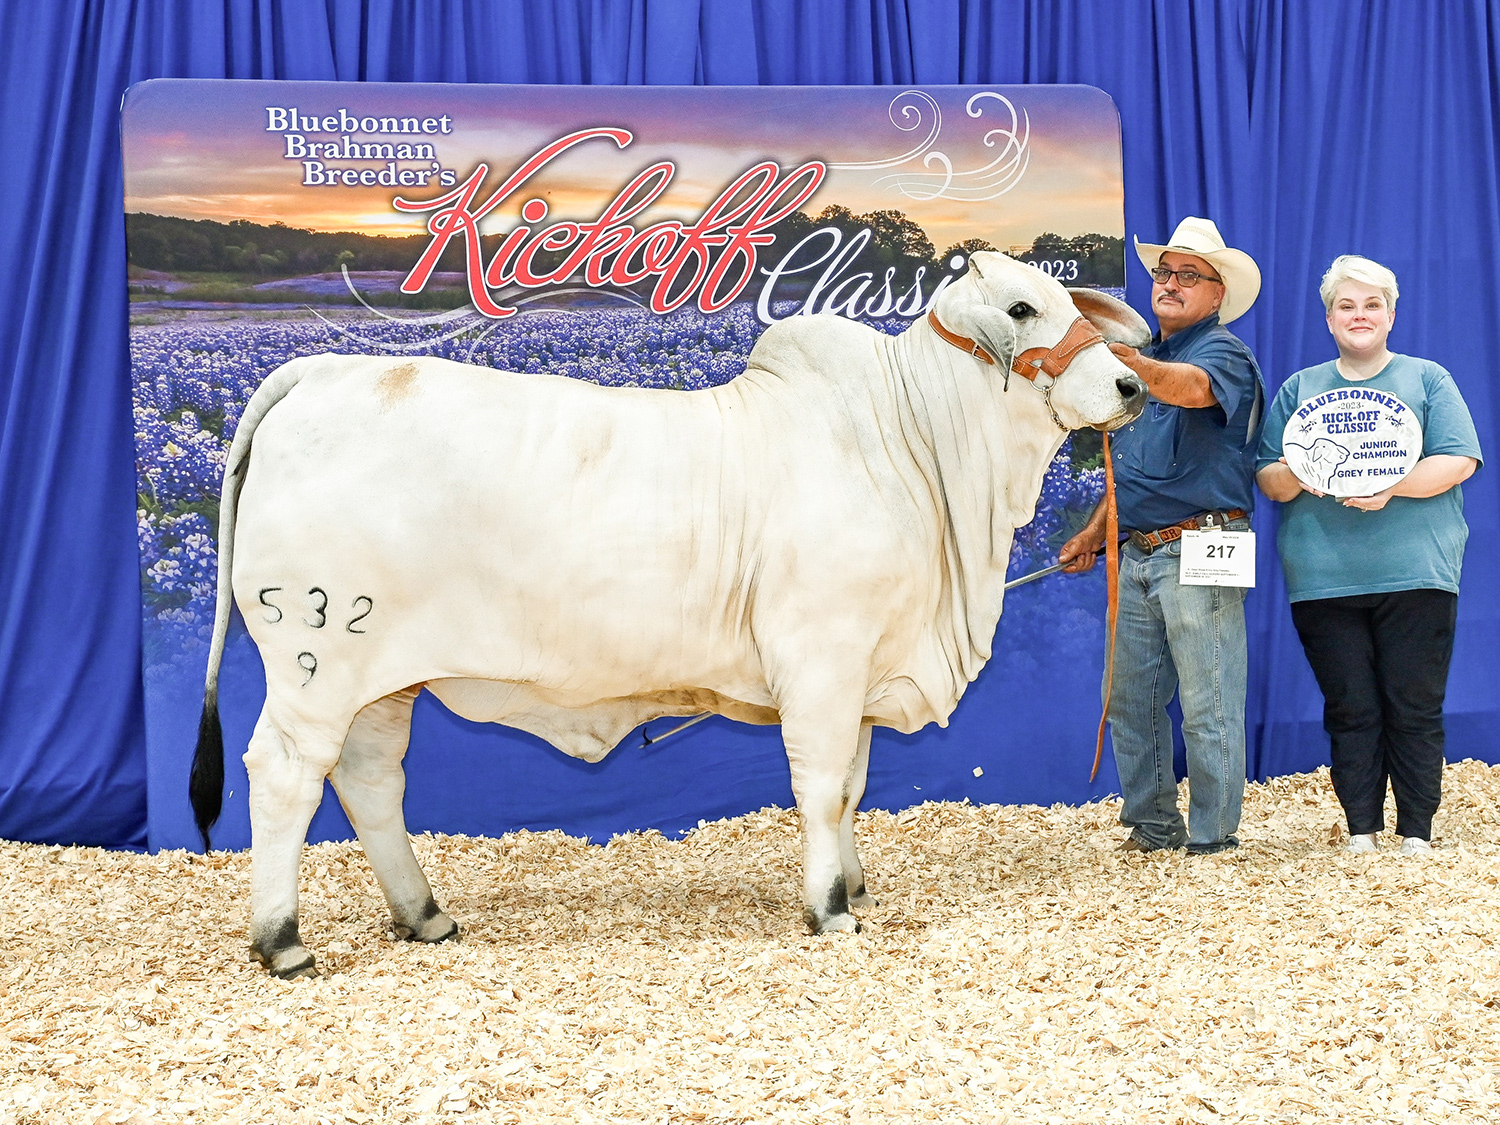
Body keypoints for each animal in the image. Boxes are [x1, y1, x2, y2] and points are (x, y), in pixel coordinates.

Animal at [190, 250, 1146, 972]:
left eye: (1076, 304)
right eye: (1021, 307)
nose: (1133, 387)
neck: (914, 448)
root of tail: (319, 371)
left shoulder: (866, 670)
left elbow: (853, 788)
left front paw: (858, 881)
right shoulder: (822, 660)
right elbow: (821, 785)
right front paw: (830, 906)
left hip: (385, 677)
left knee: (369, 777)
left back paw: (425, 913)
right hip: (317, 656)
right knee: (285, 772)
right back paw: (282, 941)